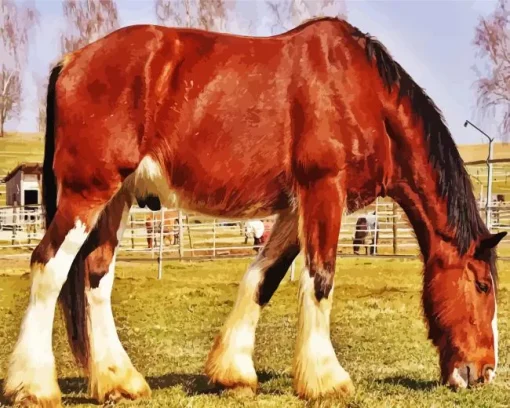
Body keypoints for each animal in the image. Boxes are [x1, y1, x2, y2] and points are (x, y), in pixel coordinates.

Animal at [2, 16, 506, 408]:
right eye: (483, 285)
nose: (483, 372)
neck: (362, 93)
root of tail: (72, 61)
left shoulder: (294, 208)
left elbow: (263, 277)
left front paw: (233, 372)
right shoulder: (324, 190)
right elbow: (320, 279)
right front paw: (326, 379)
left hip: (115, 199)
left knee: (95, 276)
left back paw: (118, 380)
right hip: (87, 194)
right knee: (48, 267)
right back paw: (33, 386)